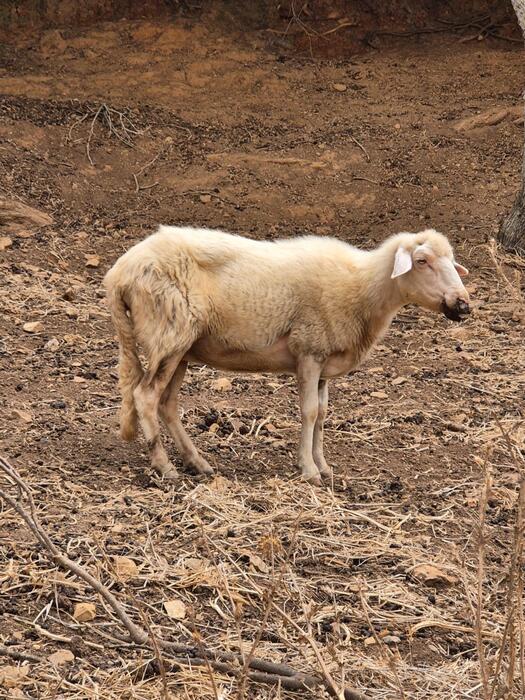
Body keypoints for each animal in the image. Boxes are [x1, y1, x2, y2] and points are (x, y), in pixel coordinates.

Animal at [103, 227, 470, 484]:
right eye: (422, 261)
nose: (463, 304)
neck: (363, 287)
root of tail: (119, 273)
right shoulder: (309, 350)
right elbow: (309, 412)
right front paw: (309, 470)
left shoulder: (324, 361)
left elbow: (322, 415)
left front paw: (324, 466)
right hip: (167, 334)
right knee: (145, 396)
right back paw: (165, 467)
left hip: (180, 346)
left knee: (166, 403)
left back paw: (198, 463)